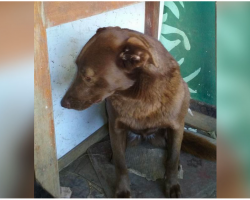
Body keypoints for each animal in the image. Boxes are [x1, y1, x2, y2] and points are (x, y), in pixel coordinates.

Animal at [61, 27, 215, 198]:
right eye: (76, 68)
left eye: (88, 77)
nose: (62, 103)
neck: (139, 96)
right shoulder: (116, 129)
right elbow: (121, 164)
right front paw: (122, 190)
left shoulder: (176, 127)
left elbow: (172, 159)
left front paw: (172, 184)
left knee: (172, 152)